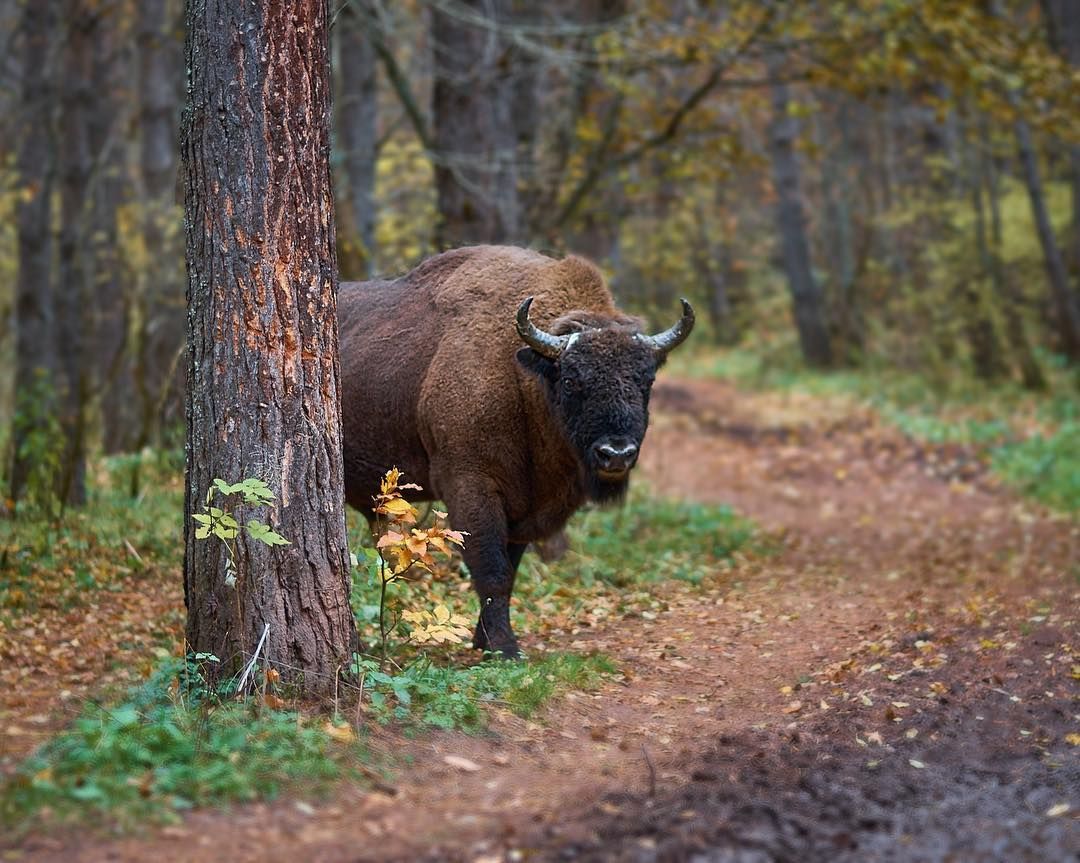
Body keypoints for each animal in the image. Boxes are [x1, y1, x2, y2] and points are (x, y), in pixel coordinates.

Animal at [336, 246, 695, 656]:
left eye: (646, 381)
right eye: (570, 380)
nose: (615, 454)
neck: (524, 376)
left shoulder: (527, 508)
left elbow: (510, 570)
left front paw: (486, 640)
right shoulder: (471, 485)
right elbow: (492, 569)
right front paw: (504, 647)